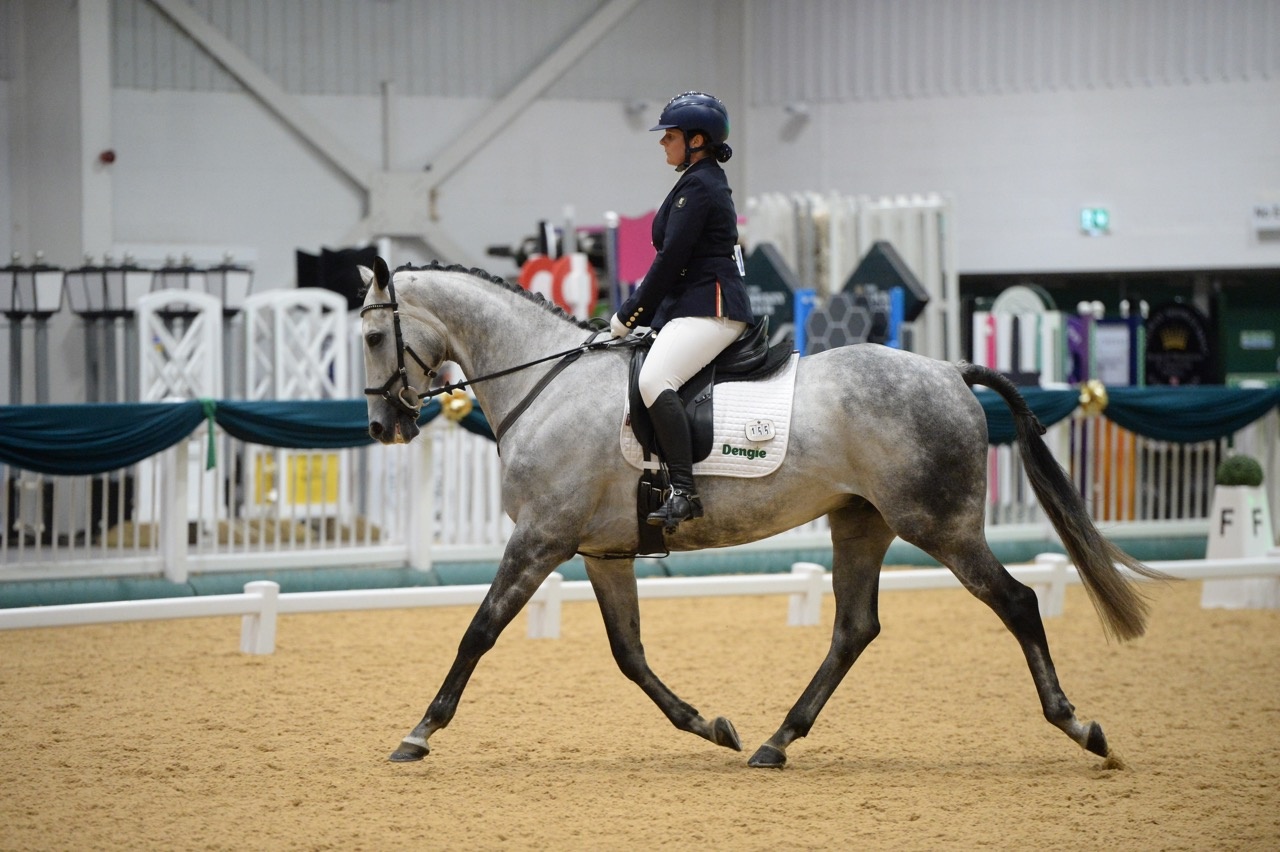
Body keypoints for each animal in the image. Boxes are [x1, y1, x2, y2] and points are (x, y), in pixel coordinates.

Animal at [355, 257, 1167, 762]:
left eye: (368, 335)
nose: (382, 426)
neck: (547, 383)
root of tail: (948, 369)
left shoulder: (540, 539)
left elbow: (479, 631)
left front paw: (419, 732)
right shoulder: (603, 551)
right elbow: (629, 655)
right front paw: (709, 726)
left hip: (940, 526)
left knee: (1018, 602)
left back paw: (1079, 726)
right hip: (861, 522)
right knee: (854, 627)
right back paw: (777, 742)